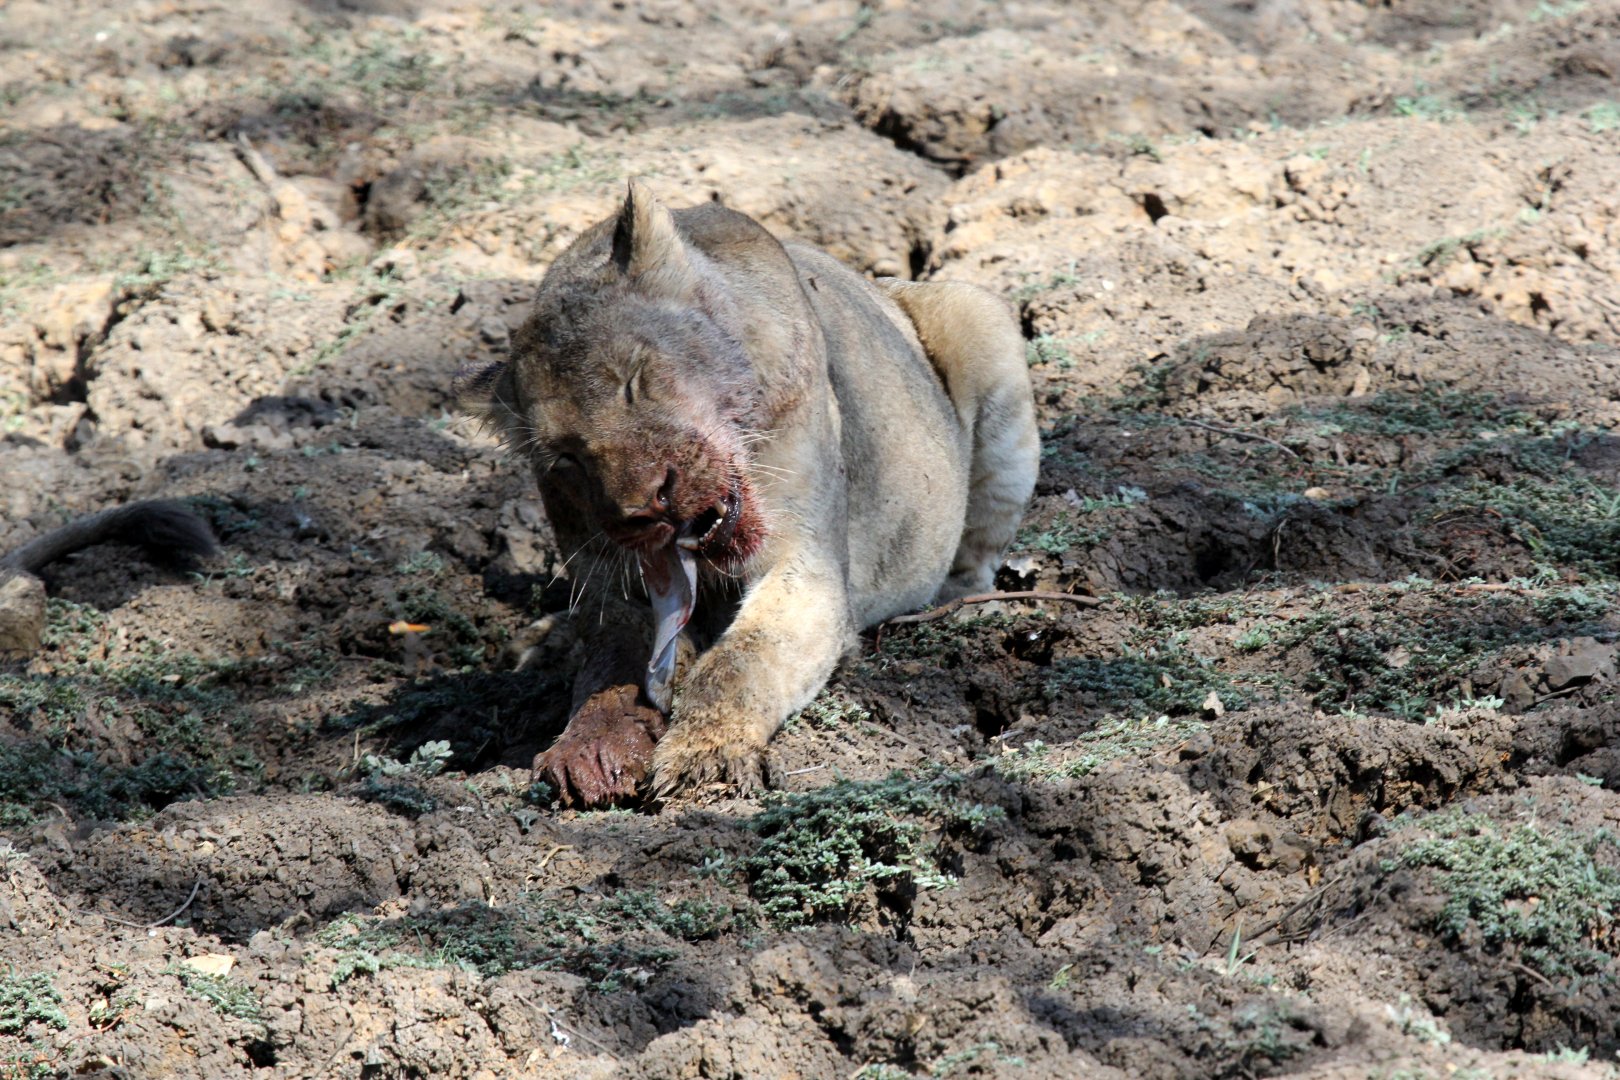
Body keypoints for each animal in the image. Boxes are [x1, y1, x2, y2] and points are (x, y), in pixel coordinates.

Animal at [457, 182, 1038, 806]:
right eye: (564, 457)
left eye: (631, 381)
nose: (645, 507)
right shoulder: (612, 581)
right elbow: (610, 663)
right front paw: (592, 750)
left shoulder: (808, 563)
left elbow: (742, 659)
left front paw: (703, 759)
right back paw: (546, 642)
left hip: (978, 323)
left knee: (975, 560)